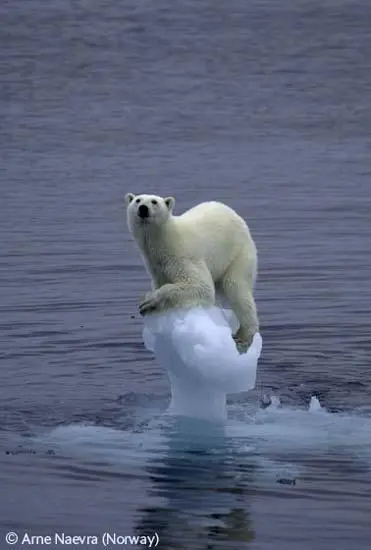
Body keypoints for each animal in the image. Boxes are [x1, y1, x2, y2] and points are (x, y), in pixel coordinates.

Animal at [125, 194, 258, 350]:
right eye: (138, 200)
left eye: (154, 201)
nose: (143, 208)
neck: (165, 240)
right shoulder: (156, 266)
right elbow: (162, 282)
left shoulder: (182, 257)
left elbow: (200, 286)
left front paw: (148, 301)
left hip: (238, 253)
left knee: (237, 289)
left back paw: (244, 337)